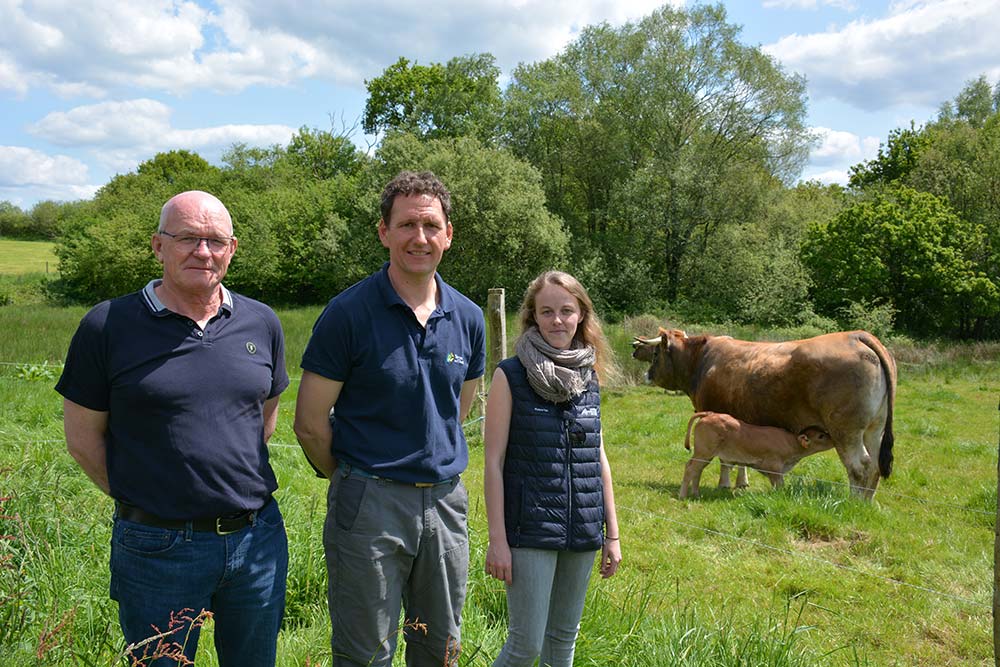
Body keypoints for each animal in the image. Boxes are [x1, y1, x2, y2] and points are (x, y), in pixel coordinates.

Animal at [680, 412, 836, 500]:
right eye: (821, 436)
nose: (833, 439)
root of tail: (709, 415)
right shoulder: (774, 466)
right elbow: (779, 485)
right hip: (704, 452)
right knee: (690, 468)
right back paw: (683, 496)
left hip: (704, 455)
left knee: (697, 470)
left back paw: (696, 494)